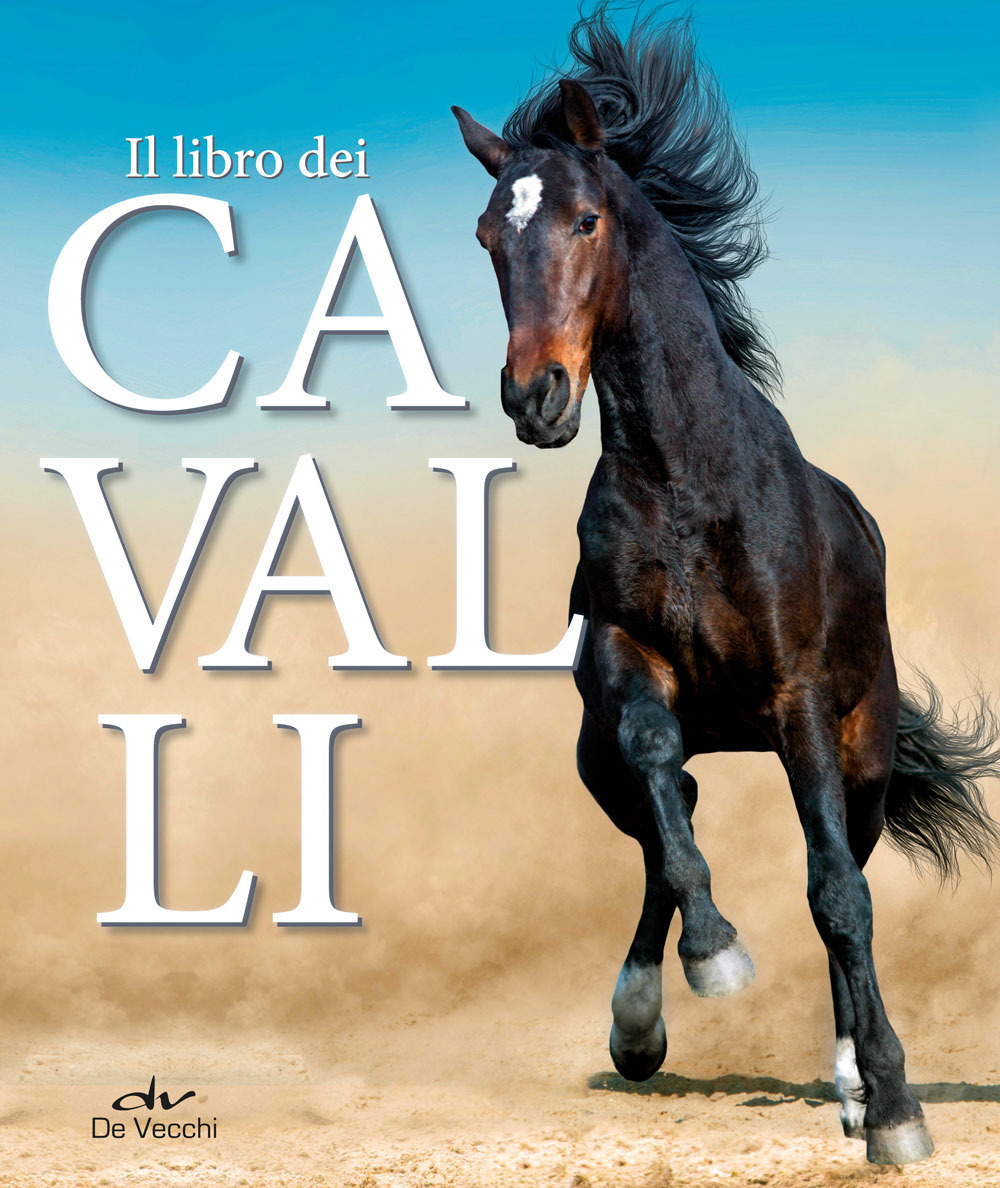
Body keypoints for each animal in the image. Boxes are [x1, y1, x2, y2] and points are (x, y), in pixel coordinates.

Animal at [452, 9, 1000, 1167]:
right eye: (486, 235)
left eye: (585, 219)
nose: (536, 396)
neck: (688, 480)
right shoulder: (628, 670)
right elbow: (667, 800)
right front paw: (708, 963)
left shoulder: (799, 702)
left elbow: (836, 894)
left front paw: (892, 1109)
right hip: (597, 762)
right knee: (670, 823)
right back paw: (643, 1023)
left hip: (861, 754)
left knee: (846, 874)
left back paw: (852, 1084)